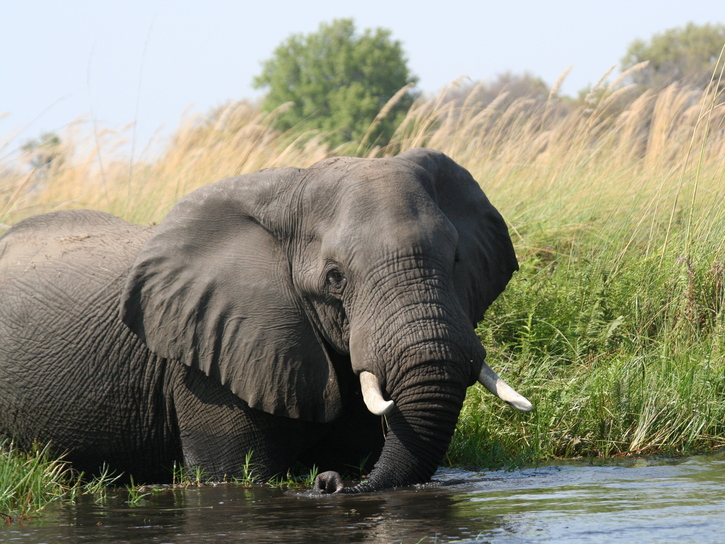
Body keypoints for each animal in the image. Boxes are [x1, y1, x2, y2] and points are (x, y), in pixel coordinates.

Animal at [0, 147, 531, 493]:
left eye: (457, 259)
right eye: (335, 277)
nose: (328, 482)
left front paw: (348, 464)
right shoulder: (207, 364)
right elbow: (236, 477)